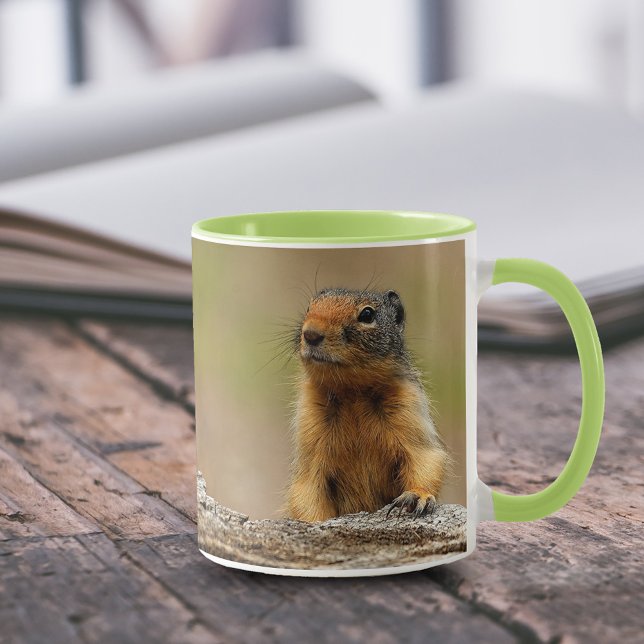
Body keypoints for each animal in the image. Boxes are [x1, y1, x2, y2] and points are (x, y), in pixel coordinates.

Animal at [286, 287, 448, 522]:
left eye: (367, 314)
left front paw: (417, 496)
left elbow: (426, 460)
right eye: (309, 306)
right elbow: (306, 491)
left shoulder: (410, 411)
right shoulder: (310, 432)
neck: (353, 393)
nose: (311, 334)